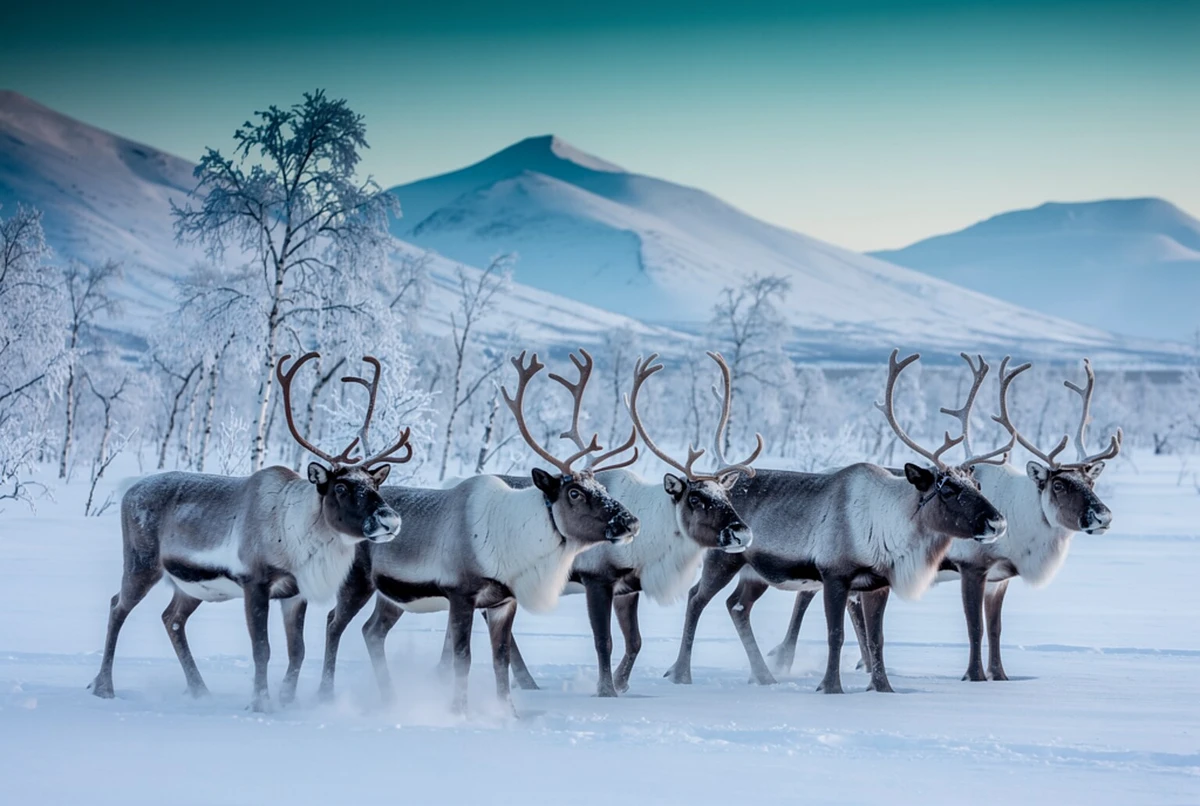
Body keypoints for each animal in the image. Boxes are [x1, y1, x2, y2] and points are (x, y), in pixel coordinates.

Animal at [90, 352, 410, 711]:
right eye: (340, 487)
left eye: (374, 485)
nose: (390, 519)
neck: (298, 535)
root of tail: (128, 489)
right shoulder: (255, 582)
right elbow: (262, 649)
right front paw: (261, 704)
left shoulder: (294, 593)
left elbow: (297, 651)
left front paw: (287, 700)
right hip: (141, 565)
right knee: (117, 607)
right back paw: (104, 686)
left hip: (191, 586)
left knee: (171, 619)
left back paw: (200, 690)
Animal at [318, 350, 641, 714]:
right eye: (574, 493)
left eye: (602, 486)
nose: (631, 522)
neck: (514, 544)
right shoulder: (461, 592)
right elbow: (463, 657)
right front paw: (458, 711)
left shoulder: (503, 601)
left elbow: (500, 659)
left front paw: (508, 713)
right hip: (357, 578)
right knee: (333, 623)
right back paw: (324, 694)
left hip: (393, 594)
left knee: (372, 631)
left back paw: (390, 698)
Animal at [488, 350, 760, 697]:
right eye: (695, 499)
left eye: (726, 494)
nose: (742, 532)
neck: (651, 544)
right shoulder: (597, 580)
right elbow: (604, 641)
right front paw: (606, 690)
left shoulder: (629, 589)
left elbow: (635, 642)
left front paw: (620, 683)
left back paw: (528, 682)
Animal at [664, 349, 1008, 694]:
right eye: (947, 489)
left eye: (977, 485)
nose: (998, 522)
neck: (889, 528)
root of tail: (717, 482)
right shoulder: (834, 574)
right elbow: (836, 635)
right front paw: (830, 688)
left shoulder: (877, 584)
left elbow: (877, 639)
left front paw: (883, 689)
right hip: (723, 557)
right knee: (696, 598)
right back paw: (681, 673)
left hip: (755, 572)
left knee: (737, 606)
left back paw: (764, 676)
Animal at [767, 356, 1120, 684]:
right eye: (1059, 484)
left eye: (1091, 482)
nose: (1103, 516)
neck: (1023, 522)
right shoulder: (972, 568)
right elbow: (975, 627)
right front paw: (974, 676)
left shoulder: (1000, 578)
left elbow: (996, 629)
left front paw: (1000, 676)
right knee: (805, 594)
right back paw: (784, 658)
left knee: (848, 605)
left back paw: (864, 664)